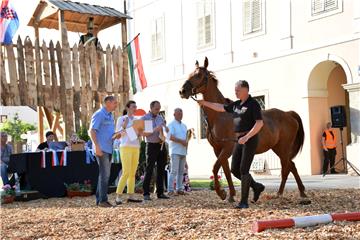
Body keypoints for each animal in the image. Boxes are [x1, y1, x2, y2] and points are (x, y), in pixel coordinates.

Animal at [179, 58, 308, 202]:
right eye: (190, 74)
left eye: (198, 75)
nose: (182, 91)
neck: (220, 116)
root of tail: (288, 114)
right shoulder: (218, 150)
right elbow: (226, 170)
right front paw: (230, 194)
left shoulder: (227, 148)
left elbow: (215, 168)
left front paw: (221, 193)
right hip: (278, 148)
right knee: (289, 166)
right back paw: (282, 193)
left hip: (283, 148)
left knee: (289, 166)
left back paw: (298, 193)